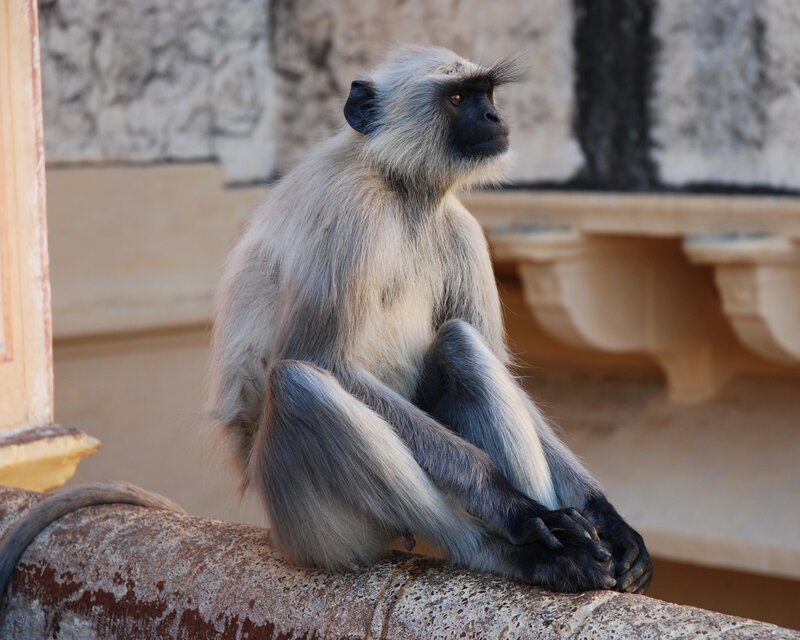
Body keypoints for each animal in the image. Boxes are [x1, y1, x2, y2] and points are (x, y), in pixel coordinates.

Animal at [207, 44, 652, 593]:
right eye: (458, 98)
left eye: (486, 94)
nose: (494, 118)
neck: (400, 188)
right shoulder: (351, 209)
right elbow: (320, 359)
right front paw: (517, 509)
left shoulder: (461, 228)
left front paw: (603, 515)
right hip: (308, 522)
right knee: (299, 384)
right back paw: (511, 547)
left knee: (460, 343)